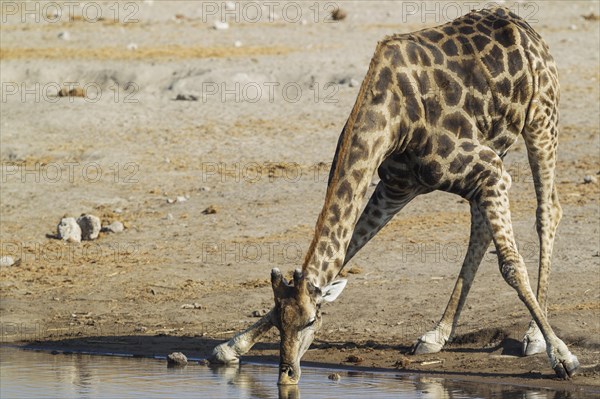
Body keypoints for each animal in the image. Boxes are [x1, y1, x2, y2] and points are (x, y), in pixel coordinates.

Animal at [210, 7, 576, 384]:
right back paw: (436, 335)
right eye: (281, 324)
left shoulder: (489, 170)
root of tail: (520, 23)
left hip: (542, 118)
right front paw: (231, 347)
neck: (394, 120)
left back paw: (534, 336)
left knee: (548, 211)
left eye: (312, 321)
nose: (287, 374)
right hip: (493, 150)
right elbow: (346, 251)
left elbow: (510, 266)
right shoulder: (397, 187)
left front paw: (562, 356)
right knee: (481, 228)